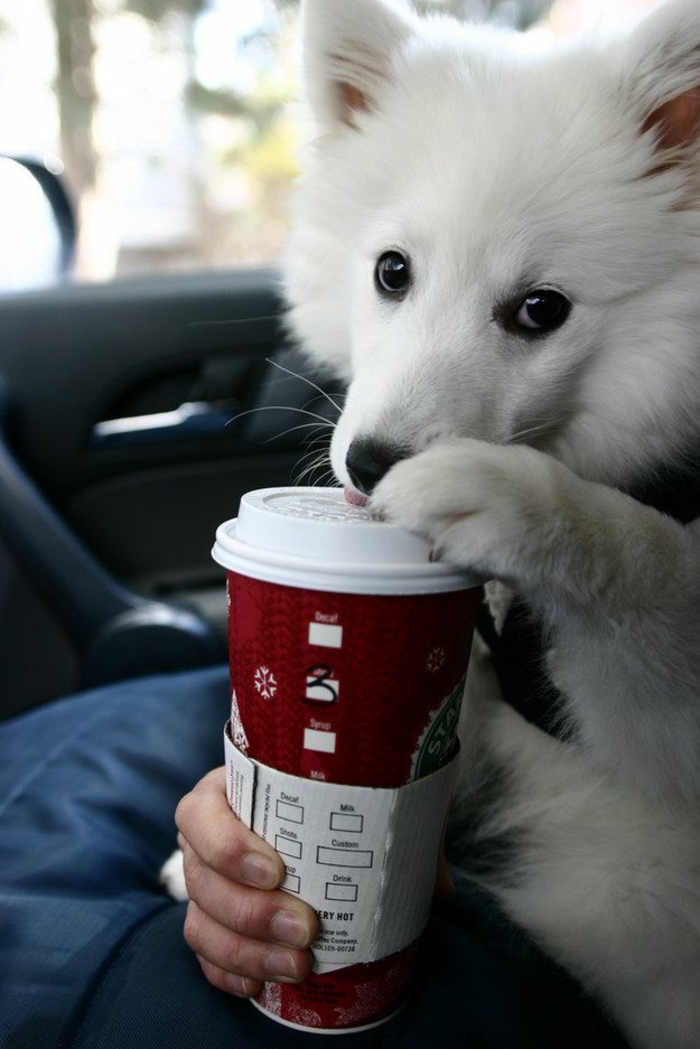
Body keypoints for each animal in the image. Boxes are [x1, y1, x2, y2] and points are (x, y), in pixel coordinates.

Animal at [281, 2, 700, 1049]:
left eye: (541, 309)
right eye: (392, 271)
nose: (370, 467)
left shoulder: (654, 734)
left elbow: (644, 565)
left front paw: (519, 500)